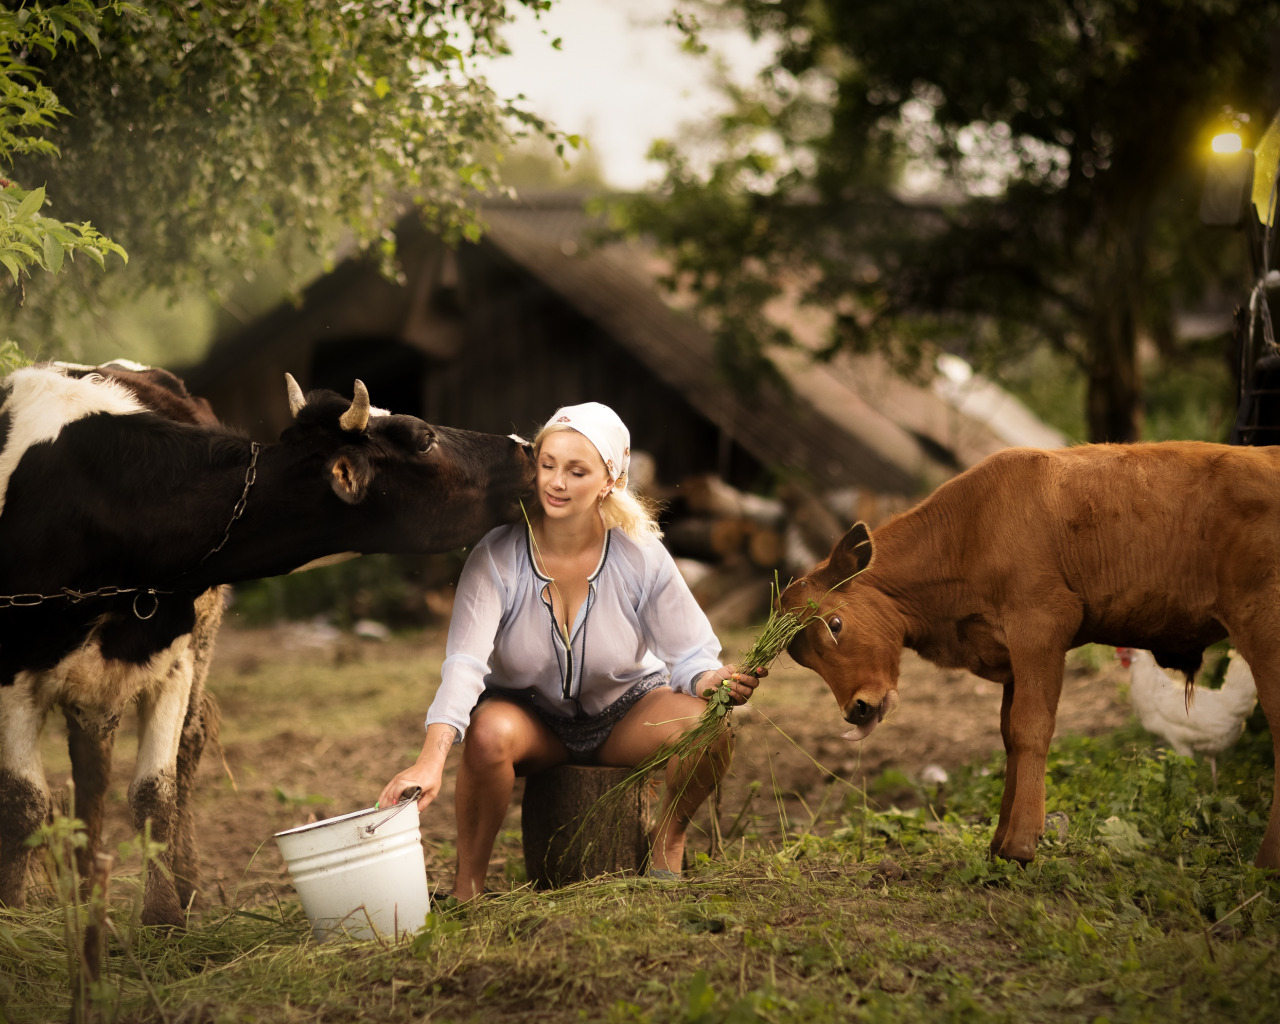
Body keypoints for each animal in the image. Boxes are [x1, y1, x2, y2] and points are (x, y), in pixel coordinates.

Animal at [0, 360, 529, 926]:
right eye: (425, 439)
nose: (525, 446)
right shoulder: (13, 672)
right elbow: (24, 801)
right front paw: (14, 918)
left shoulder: (174, 664)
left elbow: (153, 794)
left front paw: (163, 919)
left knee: (157, 755)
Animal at [778, 442, 1280, 870]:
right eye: (802, 658)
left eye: (836, 625)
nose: (857, 709)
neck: (967, 533)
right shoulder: (1012, 657)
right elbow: (1010, 734)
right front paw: (999, 843)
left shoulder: (1040, 626)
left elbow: (1031, 728)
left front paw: (1020, 845)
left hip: (1264, 628)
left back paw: (1266, 864)